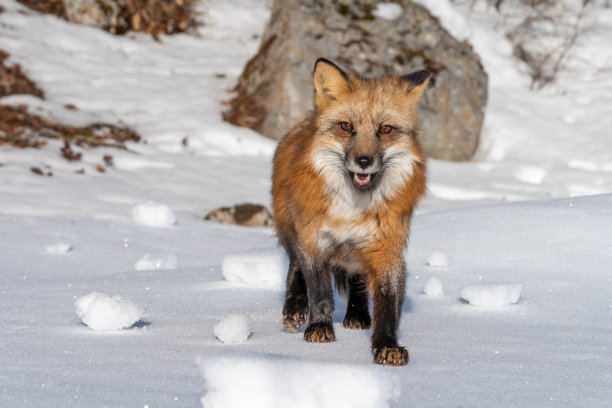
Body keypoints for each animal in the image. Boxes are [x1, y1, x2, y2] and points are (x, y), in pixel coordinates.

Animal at [272, 58, 430, 366]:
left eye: (385, 129)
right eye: (346, 126)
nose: (364, 161)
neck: (353, 209)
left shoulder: (386, 248)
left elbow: (387, 304)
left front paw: (386, 345)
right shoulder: (315, 240)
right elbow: (320, 291)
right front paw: (319, 327)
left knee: (357, 278)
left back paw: (357, 314)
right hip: (291, 229)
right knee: (295, 265)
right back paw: (294, 307)